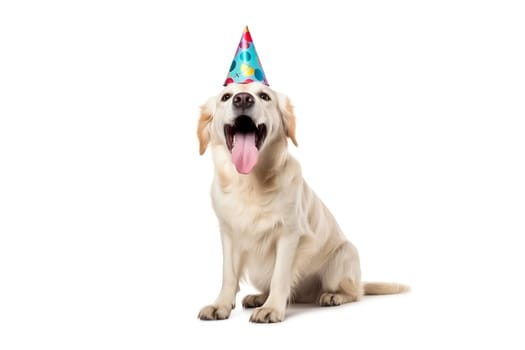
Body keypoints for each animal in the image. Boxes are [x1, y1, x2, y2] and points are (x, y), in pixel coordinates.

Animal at [198, 82, 410, 322]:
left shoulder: (289, 234)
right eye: (226, 97)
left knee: (355, 293)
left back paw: (333, 296)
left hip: (344, 254)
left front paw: (272, 308)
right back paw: (259, 297)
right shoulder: (228, 233)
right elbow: (228, 275)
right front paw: (221, 305)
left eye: (264, 96)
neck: (250, 183)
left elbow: (280, 276)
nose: (243, 99)